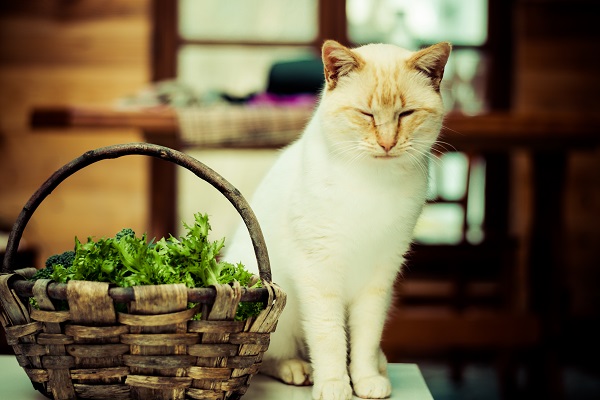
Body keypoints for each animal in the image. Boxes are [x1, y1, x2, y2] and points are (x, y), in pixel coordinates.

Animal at [225, 38, 450, 400]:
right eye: (366, 114)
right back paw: (298, 370)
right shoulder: (319, 274)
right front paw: (333, 384)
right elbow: (328, 336)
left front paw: (365, 379)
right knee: (266, 356)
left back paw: (379, 366)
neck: (373, 183)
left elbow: (365, 339)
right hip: (283, 312)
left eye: (406, 114)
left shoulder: (378, 281)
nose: (387, 143)